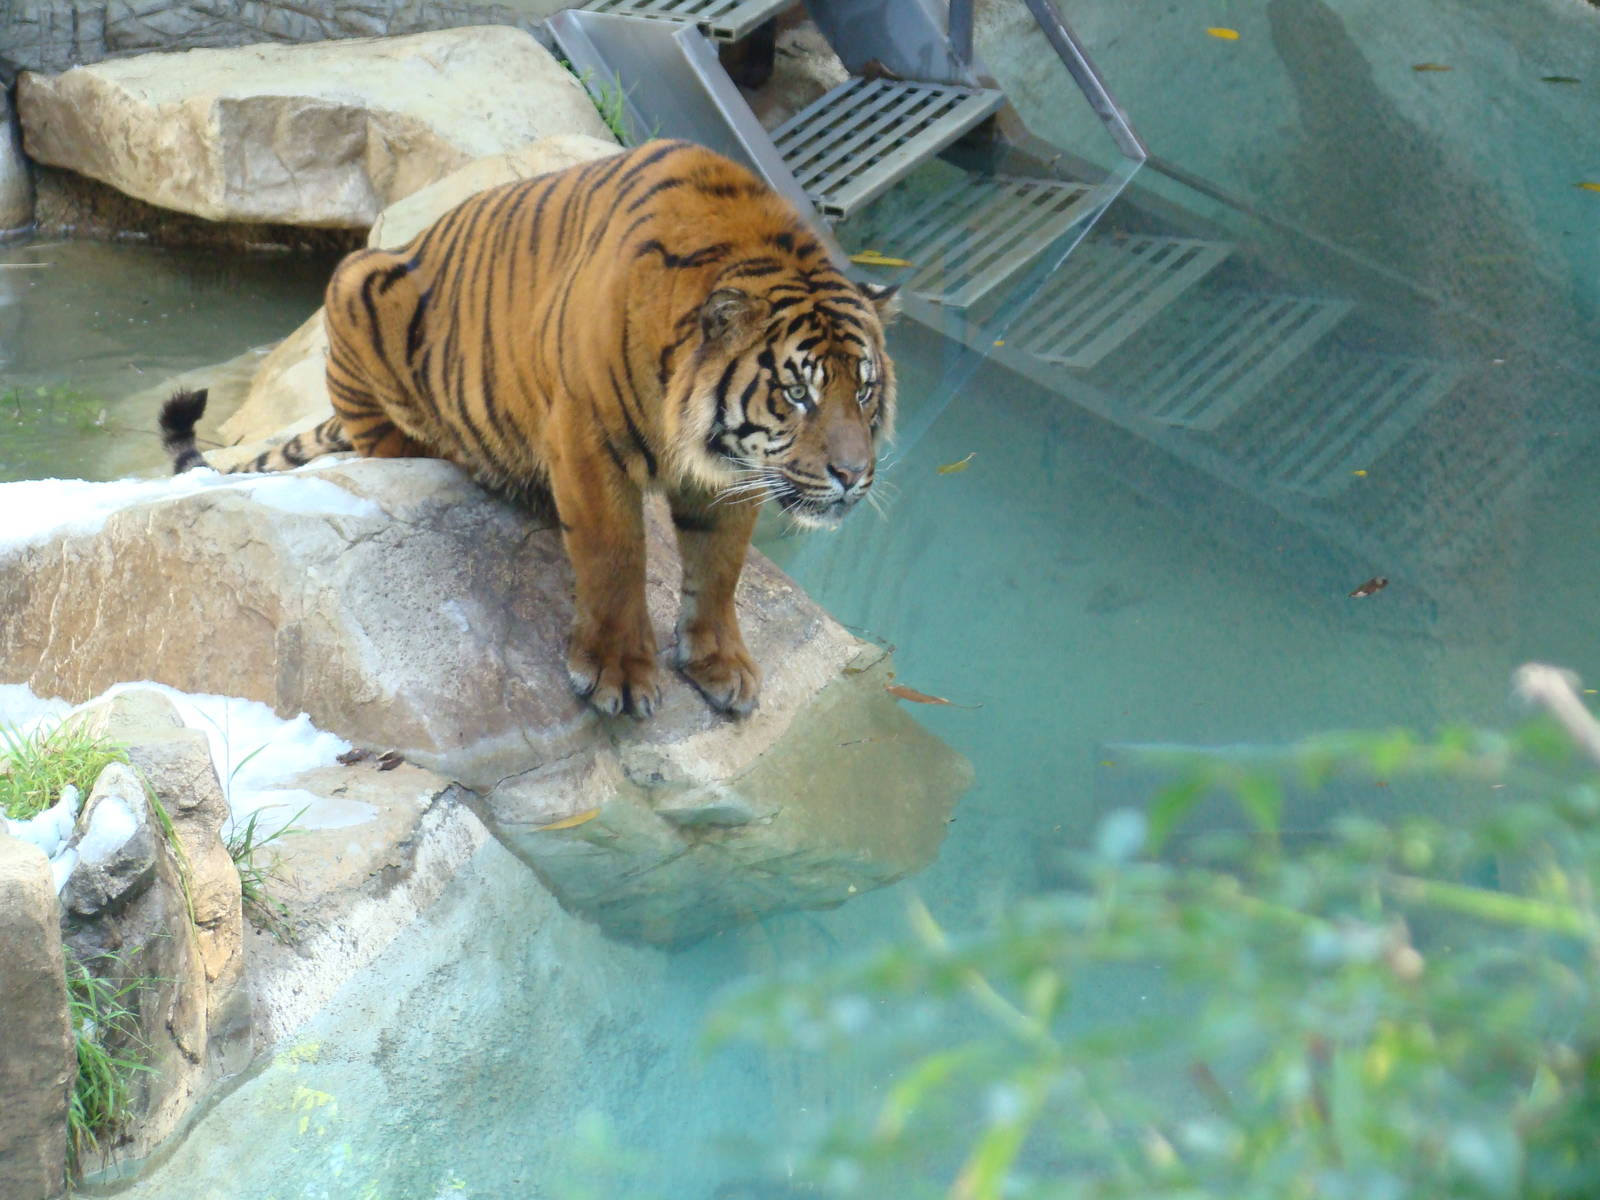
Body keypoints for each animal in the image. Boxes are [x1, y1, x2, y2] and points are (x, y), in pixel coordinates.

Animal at [159, 139, 898, 720]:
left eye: (863, 390)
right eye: (797, 393)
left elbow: (719, 567)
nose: (852, 475)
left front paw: (719, 664)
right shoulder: (589, 435)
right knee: (390, 441)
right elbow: (614, 555)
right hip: (357, 287)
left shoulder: (734, 471)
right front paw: (617, 673)